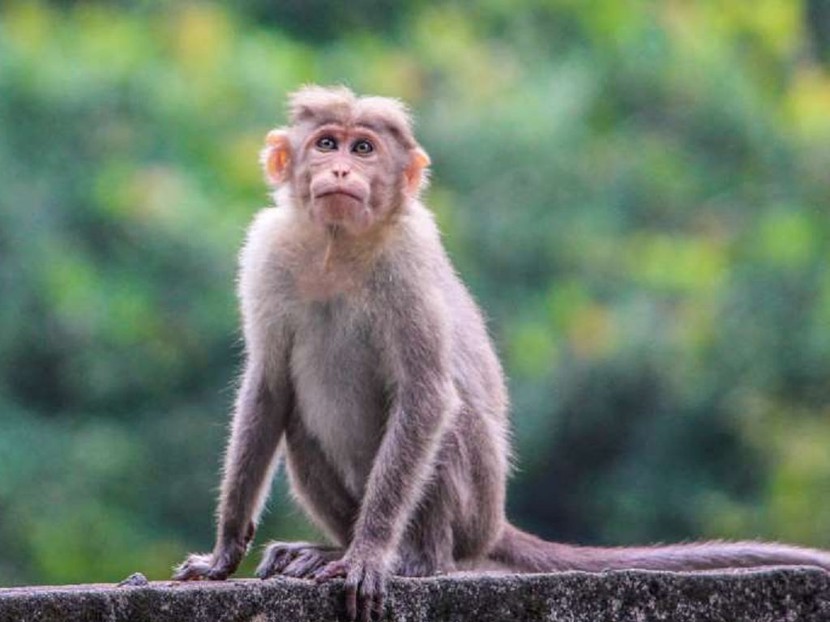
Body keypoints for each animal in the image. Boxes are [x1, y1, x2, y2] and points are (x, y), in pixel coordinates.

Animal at [172, 85, 828, 620]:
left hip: (474, 509)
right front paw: (223, 552)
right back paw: (328, 547)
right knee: (299, 423)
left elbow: (427, 395)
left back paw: (414, 558)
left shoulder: (409, 261)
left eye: (364, 149)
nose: (338, 168)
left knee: (450, 422)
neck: (338, 248)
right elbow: (269, 388)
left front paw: (369, 556)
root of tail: (495, 526)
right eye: (326, 142)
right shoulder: (266, 255)